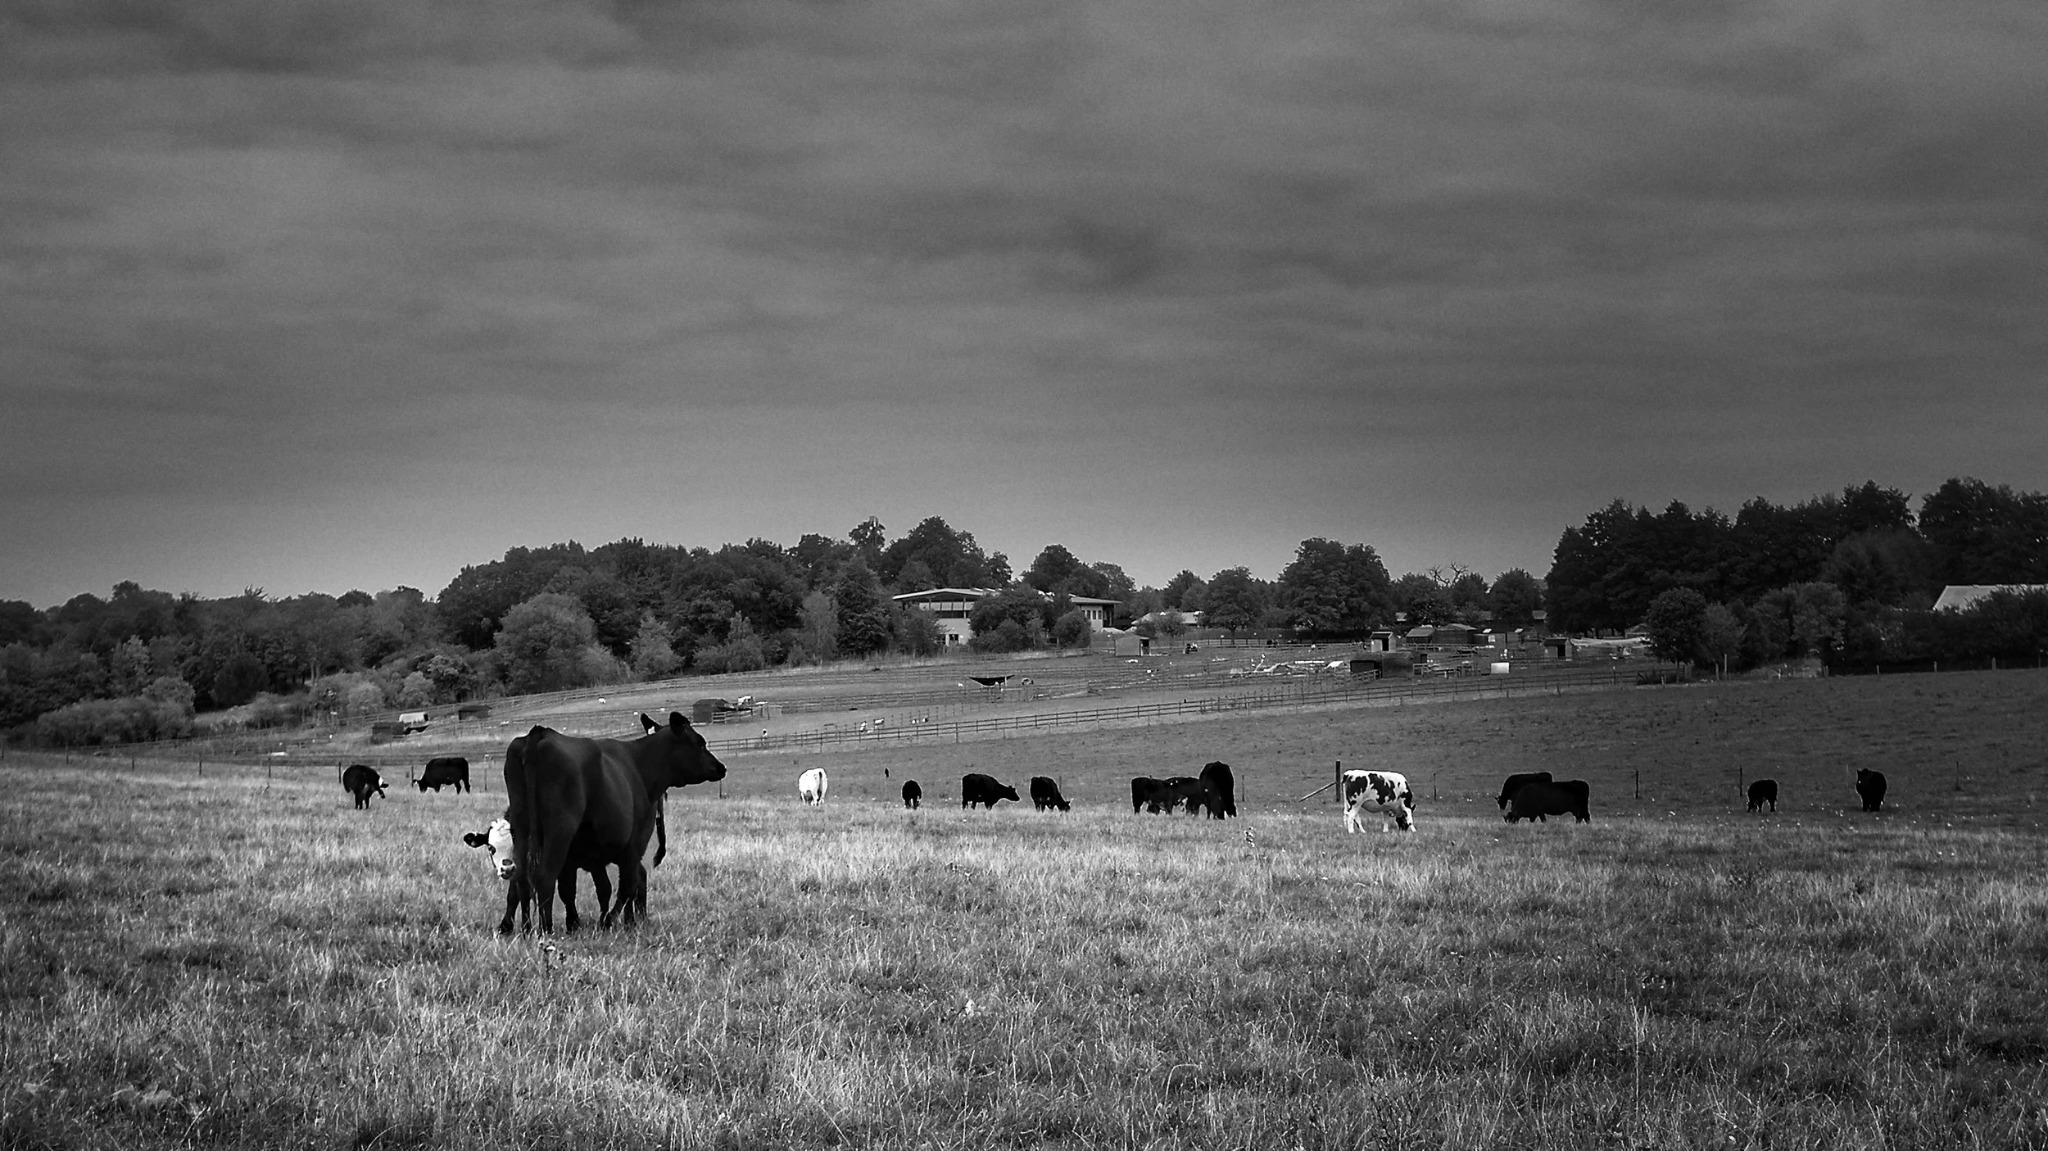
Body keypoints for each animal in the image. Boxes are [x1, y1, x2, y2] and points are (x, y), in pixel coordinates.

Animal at [506, 711, 726, 934]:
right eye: (700, 743)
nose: (721, 767)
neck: (640, 768)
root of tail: (541, 732)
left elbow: (604, 888)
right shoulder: (635, 843)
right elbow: (627, 886)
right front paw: (611, 921)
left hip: (521, 826)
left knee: (521, 878)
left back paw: (525, 929)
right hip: (560, 829)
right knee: (545, 877)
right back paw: (546, 930)